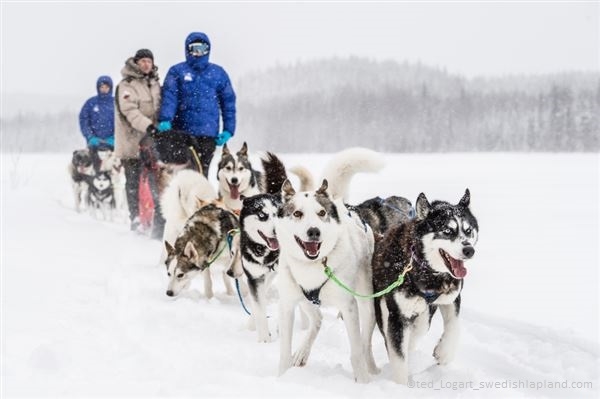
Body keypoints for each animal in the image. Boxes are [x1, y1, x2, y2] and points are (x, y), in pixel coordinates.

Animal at [276, 148, 384, 384]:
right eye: (297, 213)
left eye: (321, 213)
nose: (314, 231)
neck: (313, 265)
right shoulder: (288, 304)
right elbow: (284, 351)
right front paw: (282, 376)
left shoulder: (349, 306)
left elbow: (356, 350)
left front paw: (363, 382)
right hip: (304, 299)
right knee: (317, 319)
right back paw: (302, 352)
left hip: (366, 302)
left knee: (365, 343)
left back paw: (371, 368)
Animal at [372, 190, 480, 384]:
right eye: (447, 231)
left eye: (468, 230)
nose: (469, 251)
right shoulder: (397, 316)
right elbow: (398, 357)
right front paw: (400, 385)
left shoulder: (452, 297)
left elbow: (454, 326)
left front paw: (444, 353)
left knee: (420, 328)